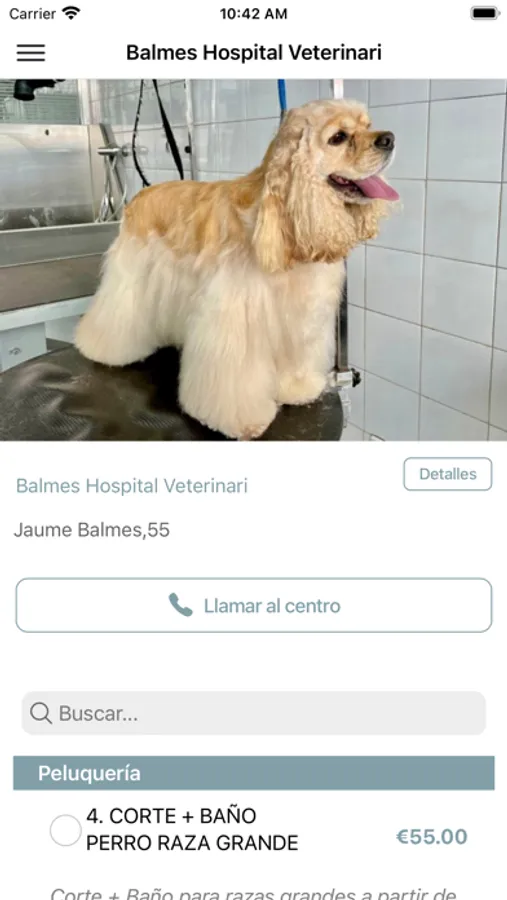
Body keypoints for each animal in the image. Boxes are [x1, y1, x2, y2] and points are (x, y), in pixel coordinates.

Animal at [75, 99, 398, 439]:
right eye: (338, 137)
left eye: (367, 125)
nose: (388, 139)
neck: (281, 213)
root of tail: (141, 194)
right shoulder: (235, 320)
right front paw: (243, 421)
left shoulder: (300, 318)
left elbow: (296, 359)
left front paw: (298, 388)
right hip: (129, 277)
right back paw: (101, 348)